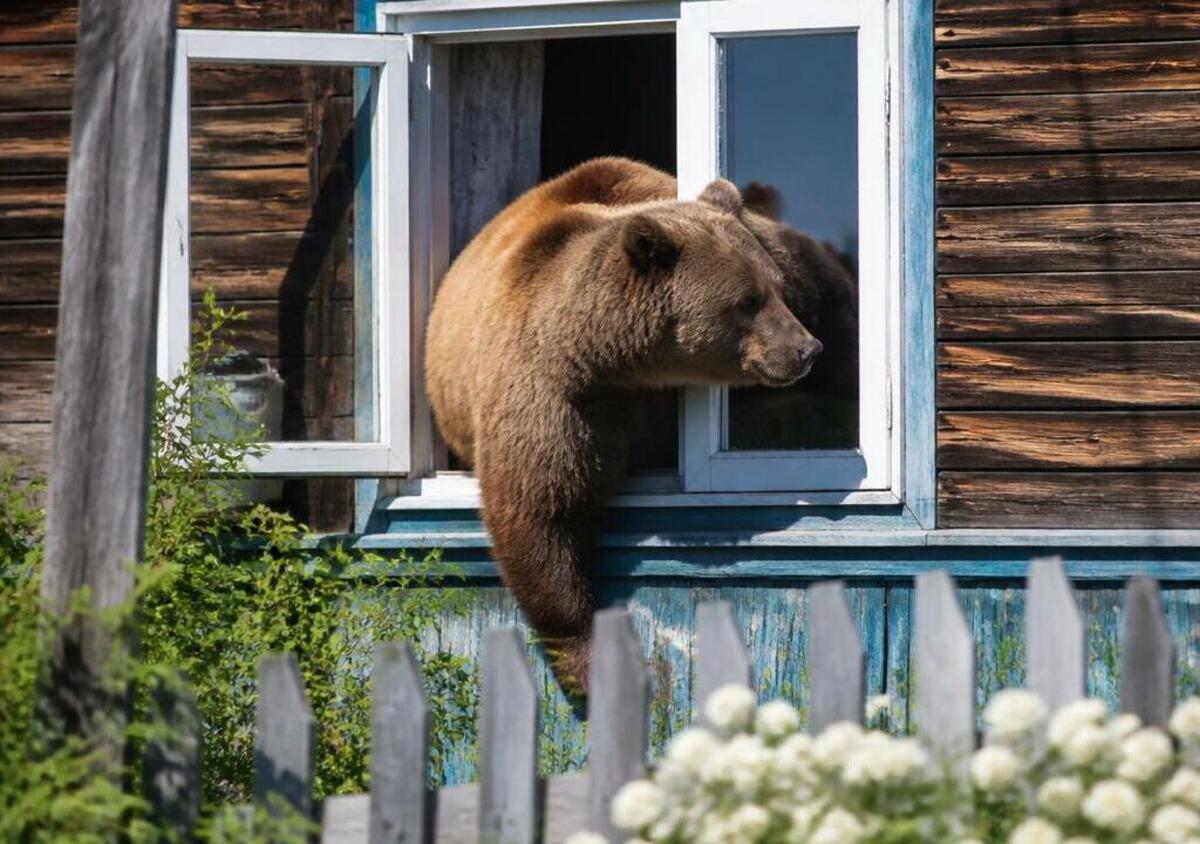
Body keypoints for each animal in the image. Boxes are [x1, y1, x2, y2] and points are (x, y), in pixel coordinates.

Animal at [425, 158, 824, 689]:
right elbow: (539, 512)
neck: (622, 360)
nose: (806, 349)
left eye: (776, 289)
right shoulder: (556, 395)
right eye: (747, 300)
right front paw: (591, 661)